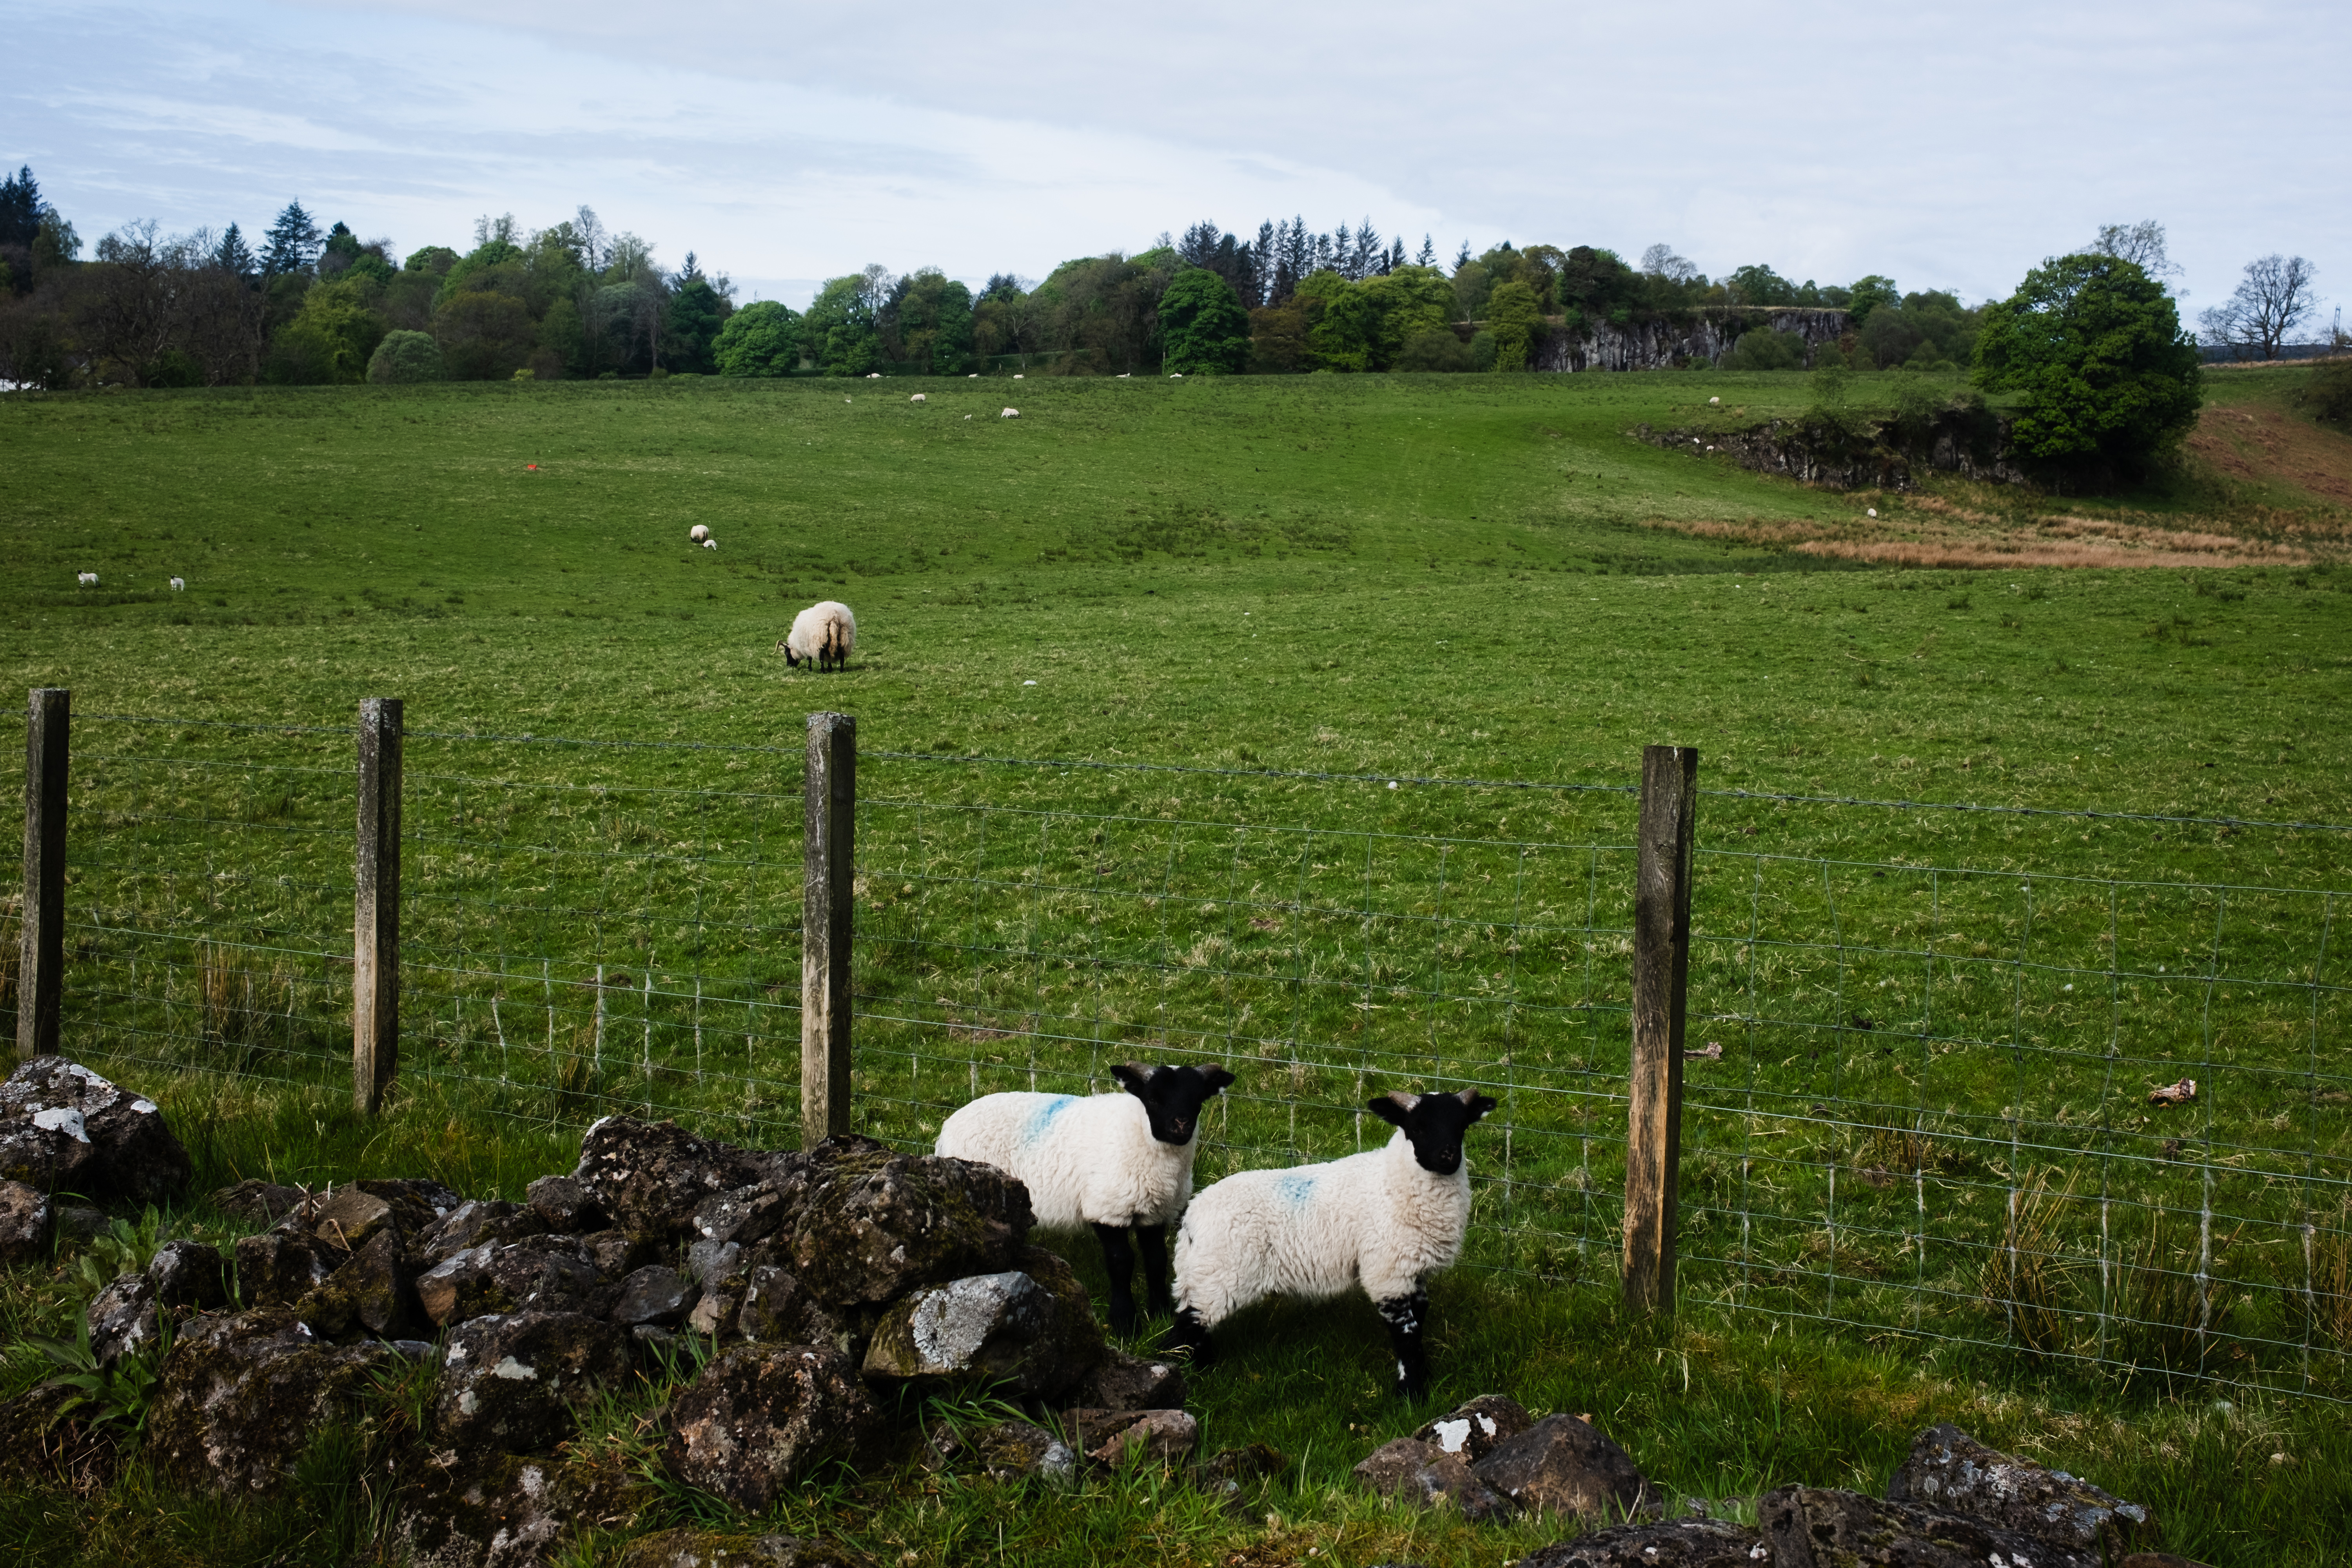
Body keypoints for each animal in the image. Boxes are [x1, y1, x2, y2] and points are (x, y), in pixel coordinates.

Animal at [776, 600, 856, 672]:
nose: (788, 666)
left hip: (821, 639)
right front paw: (830, 668)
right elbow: (828, 657)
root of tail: (834, 616)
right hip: (845, 636)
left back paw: (822, 671)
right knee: (842, 657)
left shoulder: (808, 646)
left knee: (821, 657)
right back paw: (841, 670)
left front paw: (810, 669)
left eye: (786, 654)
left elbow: (810, 658)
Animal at [937, 1062, 1234, 1334]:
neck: (1140, 1132)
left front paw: (1159, 1313)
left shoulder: (1155, 1213)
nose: (1182, 1124)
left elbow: (1157, 1260)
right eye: (1153, 1098)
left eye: (1198, 1098)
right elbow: (1122, 1262)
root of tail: (947, 1128)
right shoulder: (1107, 1208)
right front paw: (1125, 1322)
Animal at [1164, 1087, 1496, 1398]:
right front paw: (1411, 1393)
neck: (1393, 1181)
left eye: (1462, 1125)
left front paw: (1421, 1380)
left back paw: (1206, 1368)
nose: (1448, 1156)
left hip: (1203, 1278)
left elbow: (1420, 1319)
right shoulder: (1387, 1273)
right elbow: (1407, 1335)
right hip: (1219, 1277)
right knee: (1186, 1328)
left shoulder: (1415, 1270)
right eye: (1417, 1128)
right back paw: (1186, 1376)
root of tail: (1191, 1222)